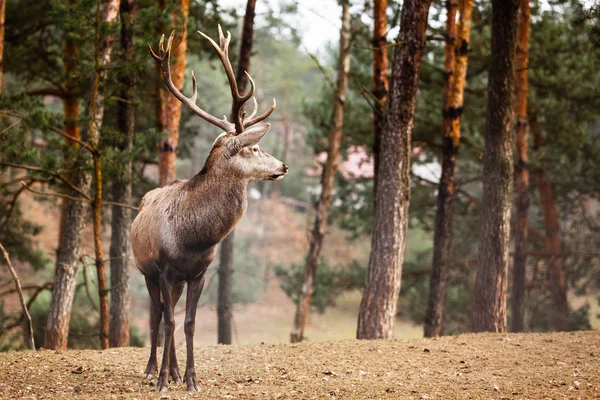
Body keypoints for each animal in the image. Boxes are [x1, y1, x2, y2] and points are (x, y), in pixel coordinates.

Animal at [134, 28, 288, 394]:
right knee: (157, 314)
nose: (284, 166)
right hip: (146, 272)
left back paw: (175, 371)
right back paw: (152, 370)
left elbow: (188, 323)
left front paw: (190, 379)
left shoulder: (199, 272)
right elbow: (168, 321)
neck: (193, 238)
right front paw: (162, 380)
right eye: (255, 148)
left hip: (177, 280)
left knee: (171, 314)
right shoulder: (164, 269)